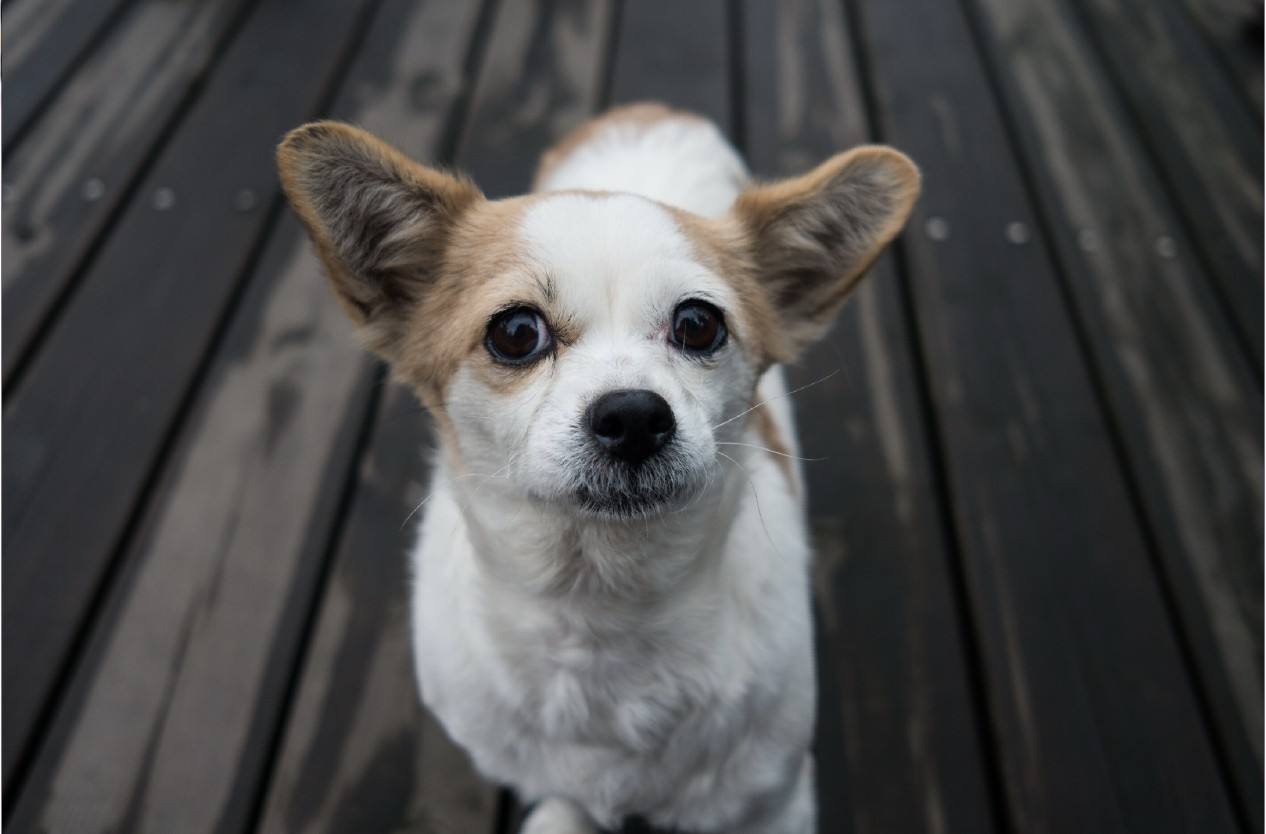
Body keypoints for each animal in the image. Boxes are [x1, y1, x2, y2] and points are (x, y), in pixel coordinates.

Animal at [279, 104, 921, 834]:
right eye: (515, 332)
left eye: (699, 324)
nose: (635, 416)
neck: (601, 613)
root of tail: (648, 110)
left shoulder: (770, 803)